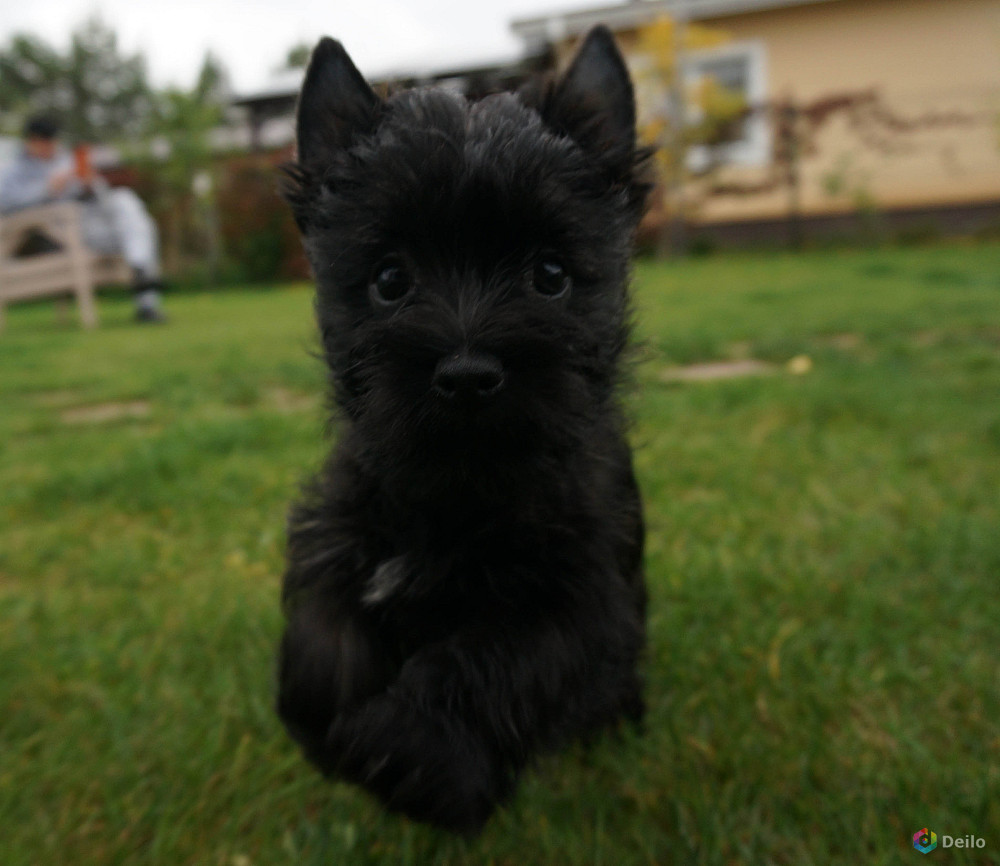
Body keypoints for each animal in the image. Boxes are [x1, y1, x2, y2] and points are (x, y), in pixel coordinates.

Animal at [276, 27, 648, 832]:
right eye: (390, 279)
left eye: (551, 274)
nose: (470, 375)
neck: (456, 487)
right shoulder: (337, 534)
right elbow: (322, 635)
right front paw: (325, 727)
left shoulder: (578, 598)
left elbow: (488, 656)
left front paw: (408, 751)